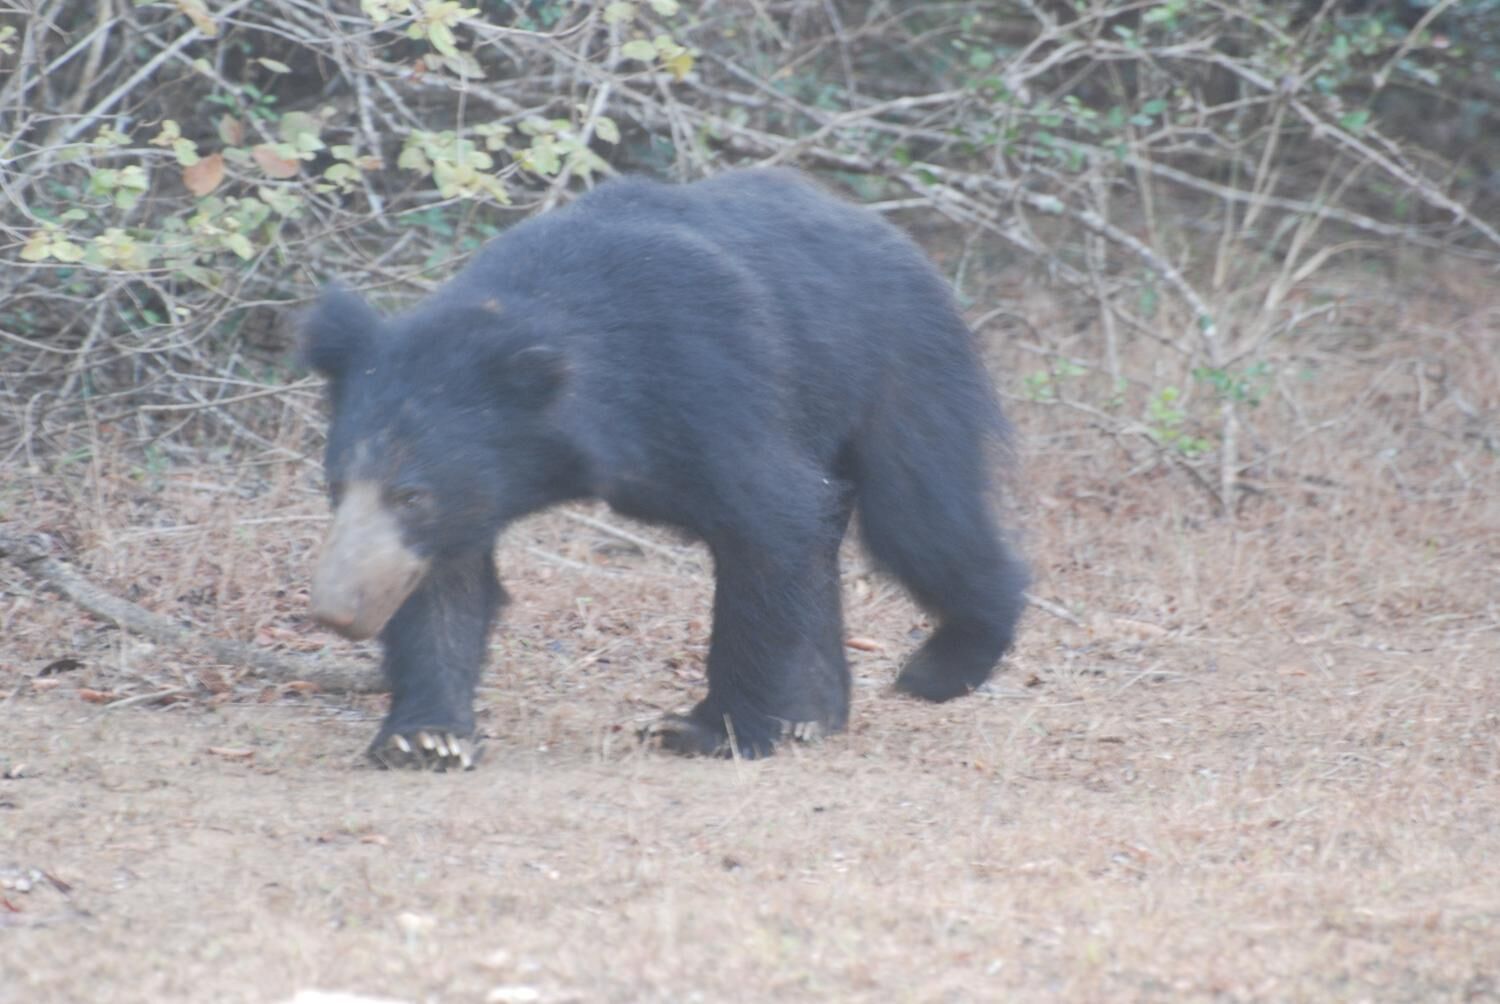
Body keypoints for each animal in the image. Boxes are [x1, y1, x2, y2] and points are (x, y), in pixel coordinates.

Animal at [302, 168, 1027, 770]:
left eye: (411, 495)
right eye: (335, 486)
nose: (336, 610)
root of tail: (896, 237)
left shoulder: (708, 383)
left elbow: (770, 522)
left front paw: (708, 729)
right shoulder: (472, 496)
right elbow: (446, 585)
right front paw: (426, 737)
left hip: (900, 368)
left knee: (920, 518)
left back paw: (943, 663)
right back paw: (815, 713)